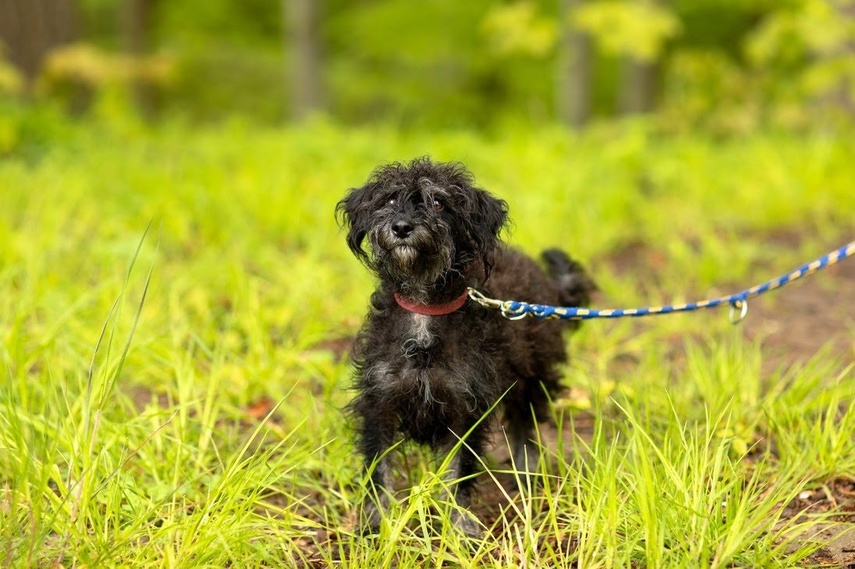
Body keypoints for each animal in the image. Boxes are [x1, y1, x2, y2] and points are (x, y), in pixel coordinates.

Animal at [336, 156, 596, 536]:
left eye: (438, 202)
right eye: (389, 199)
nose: (401, 227)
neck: (425, 309)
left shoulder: (466, 407)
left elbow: (459, 471)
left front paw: (459, 528)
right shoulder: (379, 400)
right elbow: (378, 468)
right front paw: (375, 525)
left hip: (532, 376)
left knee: (525, 425)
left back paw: (526, 475)